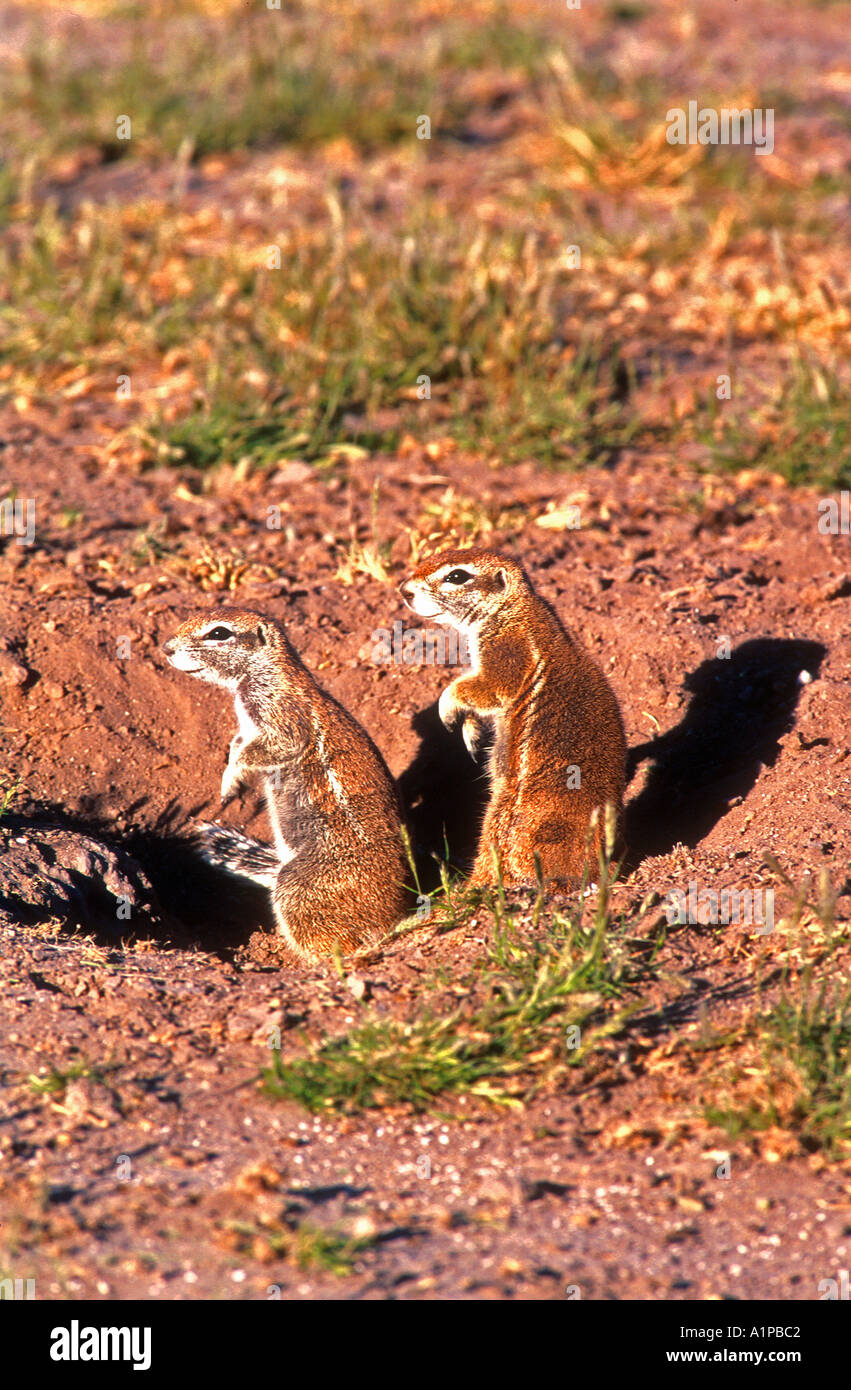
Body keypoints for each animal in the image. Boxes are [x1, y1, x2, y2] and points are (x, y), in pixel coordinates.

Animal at [163, 608, 411, 956]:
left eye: (219, 633)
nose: (167, 649)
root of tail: (396, 908)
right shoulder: (246, 730)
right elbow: (237, 746)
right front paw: (228, 783)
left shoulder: (282, 716)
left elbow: (267, 748)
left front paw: (233, 776)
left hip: (299, 882)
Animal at [397, 547, 625, 884]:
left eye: (456, 576)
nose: (404, 591)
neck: (514, 608)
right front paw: (470, 732)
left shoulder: (508, 650)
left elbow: (487, 685)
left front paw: (447, 707)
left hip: (504, 812)